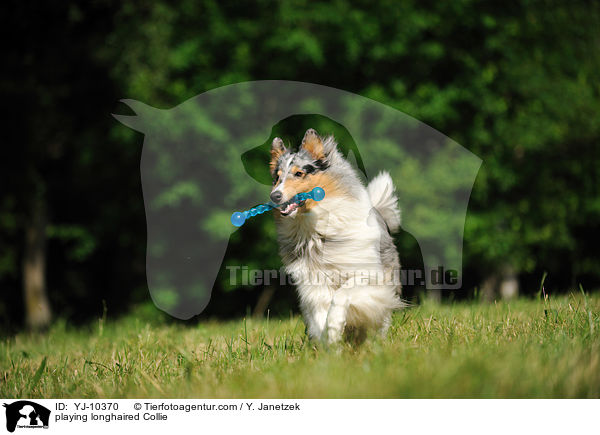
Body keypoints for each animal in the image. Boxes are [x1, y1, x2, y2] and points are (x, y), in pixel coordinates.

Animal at [270, 127, 404, 346]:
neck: (315, 227)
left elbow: (342, 294)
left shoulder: (369, 275)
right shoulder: (312, 283)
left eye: (299, 173)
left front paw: (334, 327)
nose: (274, 196)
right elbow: (319, 315)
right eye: (277, 178)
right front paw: (330, 342)